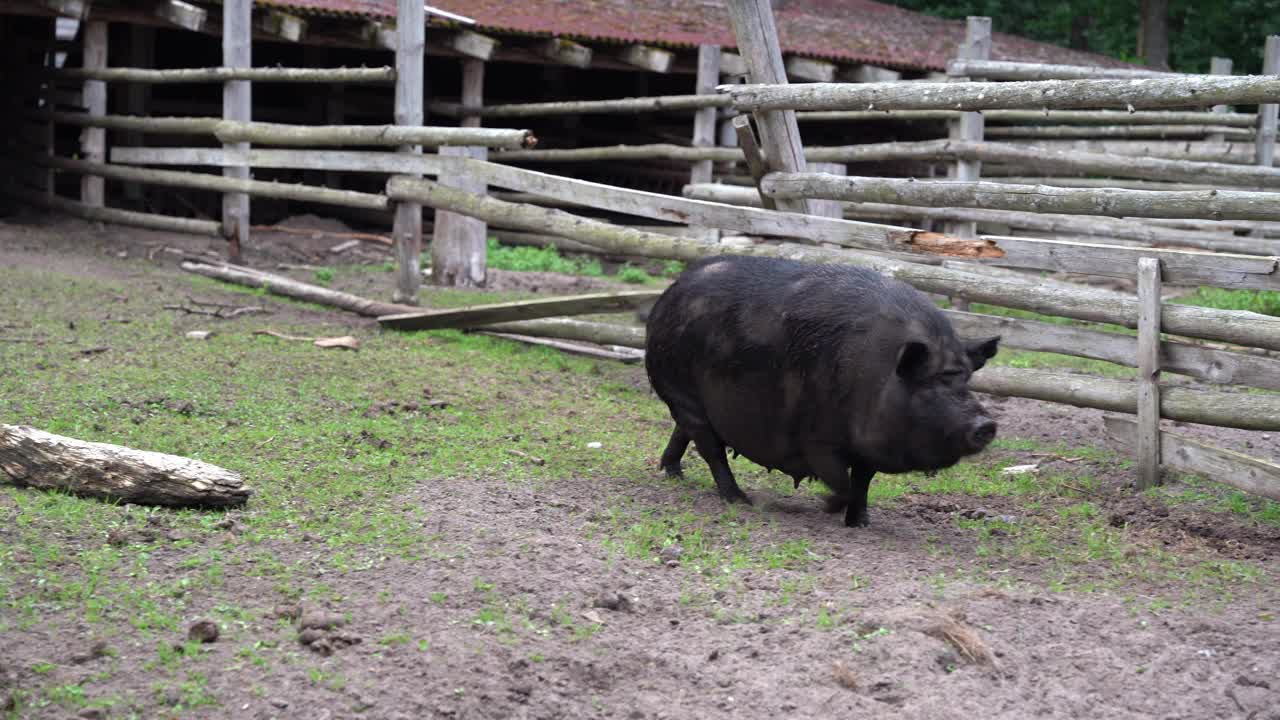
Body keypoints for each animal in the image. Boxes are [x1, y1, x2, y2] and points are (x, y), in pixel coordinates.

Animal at [640, 254, 998, 525]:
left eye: (966, 380)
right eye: (930, 385)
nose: (987, 424)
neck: (877, 375)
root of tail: (669, 295)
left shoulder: (867, 449)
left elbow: (862, 482)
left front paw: (860, 522)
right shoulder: (816, 438)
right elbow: (841, 481)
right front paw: (827, 506)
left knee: (684, 433)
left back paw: (674, 473)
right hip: (684, 393)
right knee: (710, 448)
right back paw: (740, 500)